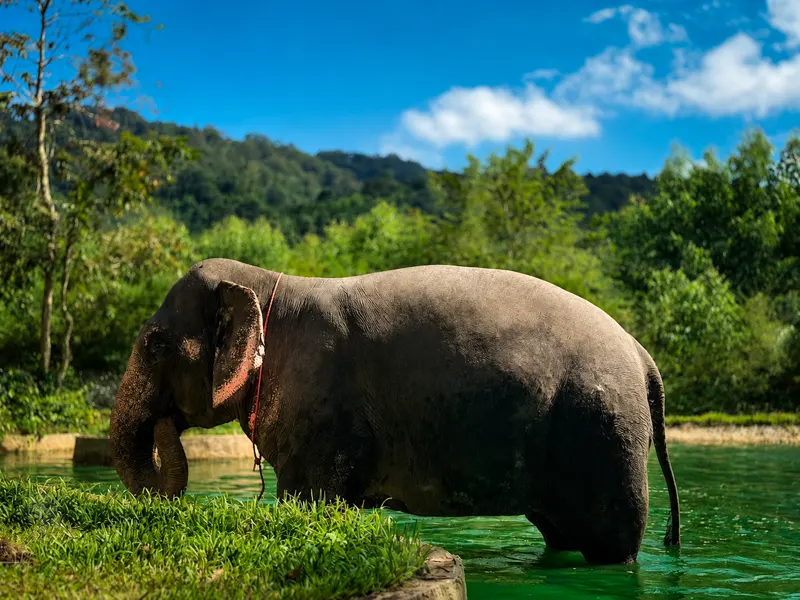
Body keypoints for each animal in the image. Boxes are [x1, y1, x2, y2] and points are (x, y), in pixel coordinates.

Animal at [109, 258, 681, 565]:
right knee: (560, 535)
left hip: (604, 435)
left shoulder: (321, 409)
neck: (271, 282)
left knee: (610, 546)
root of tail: (643, 356)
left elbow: (309, 499)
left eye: (155, 345)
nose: (166, 426)